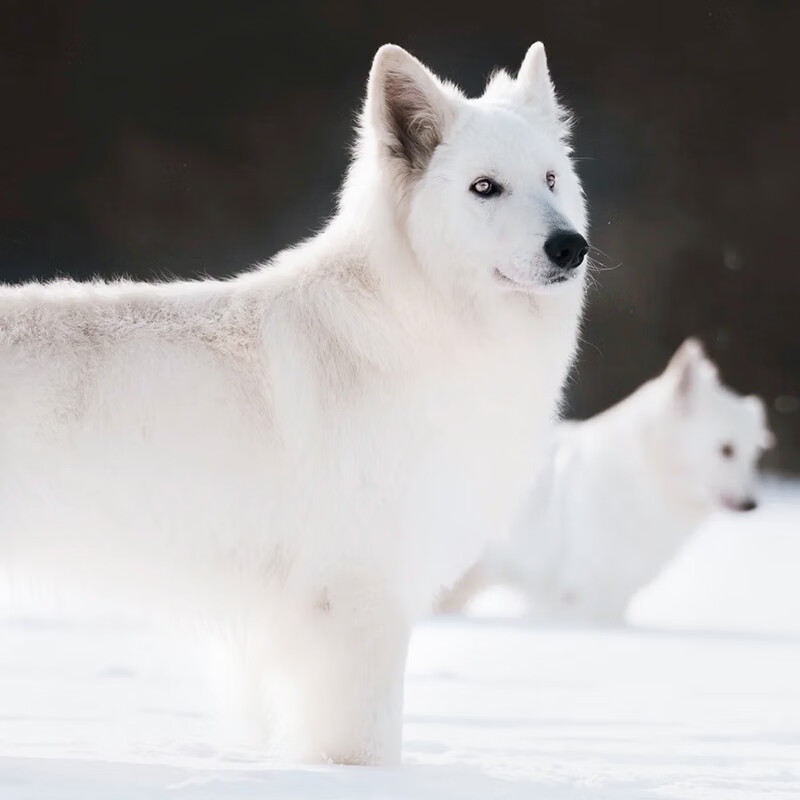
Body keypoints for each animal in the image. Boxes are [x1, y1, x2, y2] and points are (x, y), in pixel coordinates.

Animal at [0, 43, 588, 764]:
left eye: (551, 179)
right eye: (485, 187)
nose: (571, 247)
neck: (417, 321)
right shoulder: (357, 599)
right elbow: (363, 743)